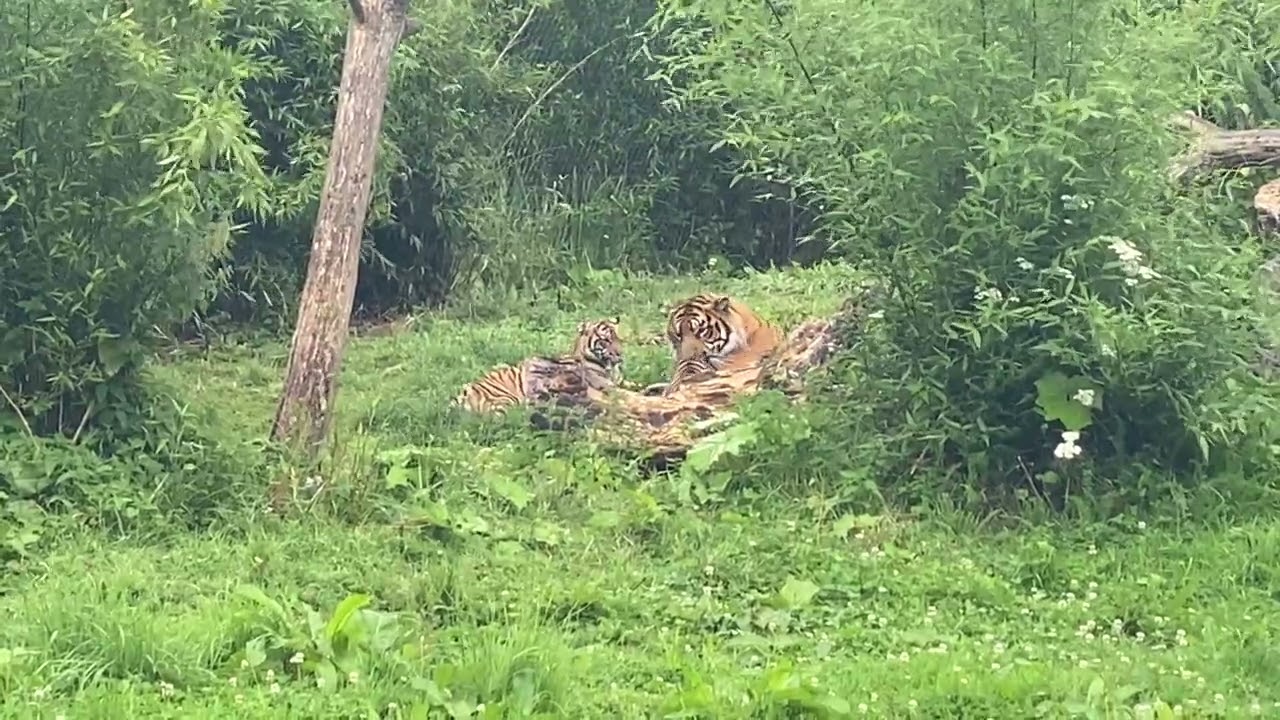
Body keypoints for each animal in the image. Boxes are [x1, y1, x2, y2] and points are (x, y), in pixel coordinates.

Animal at [453, 318, 623, 413]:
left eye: (618, 338)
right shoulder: (600, 381)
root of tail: (462, 394)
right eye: (605, 340)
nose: (620, 354)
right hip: (505, 400)